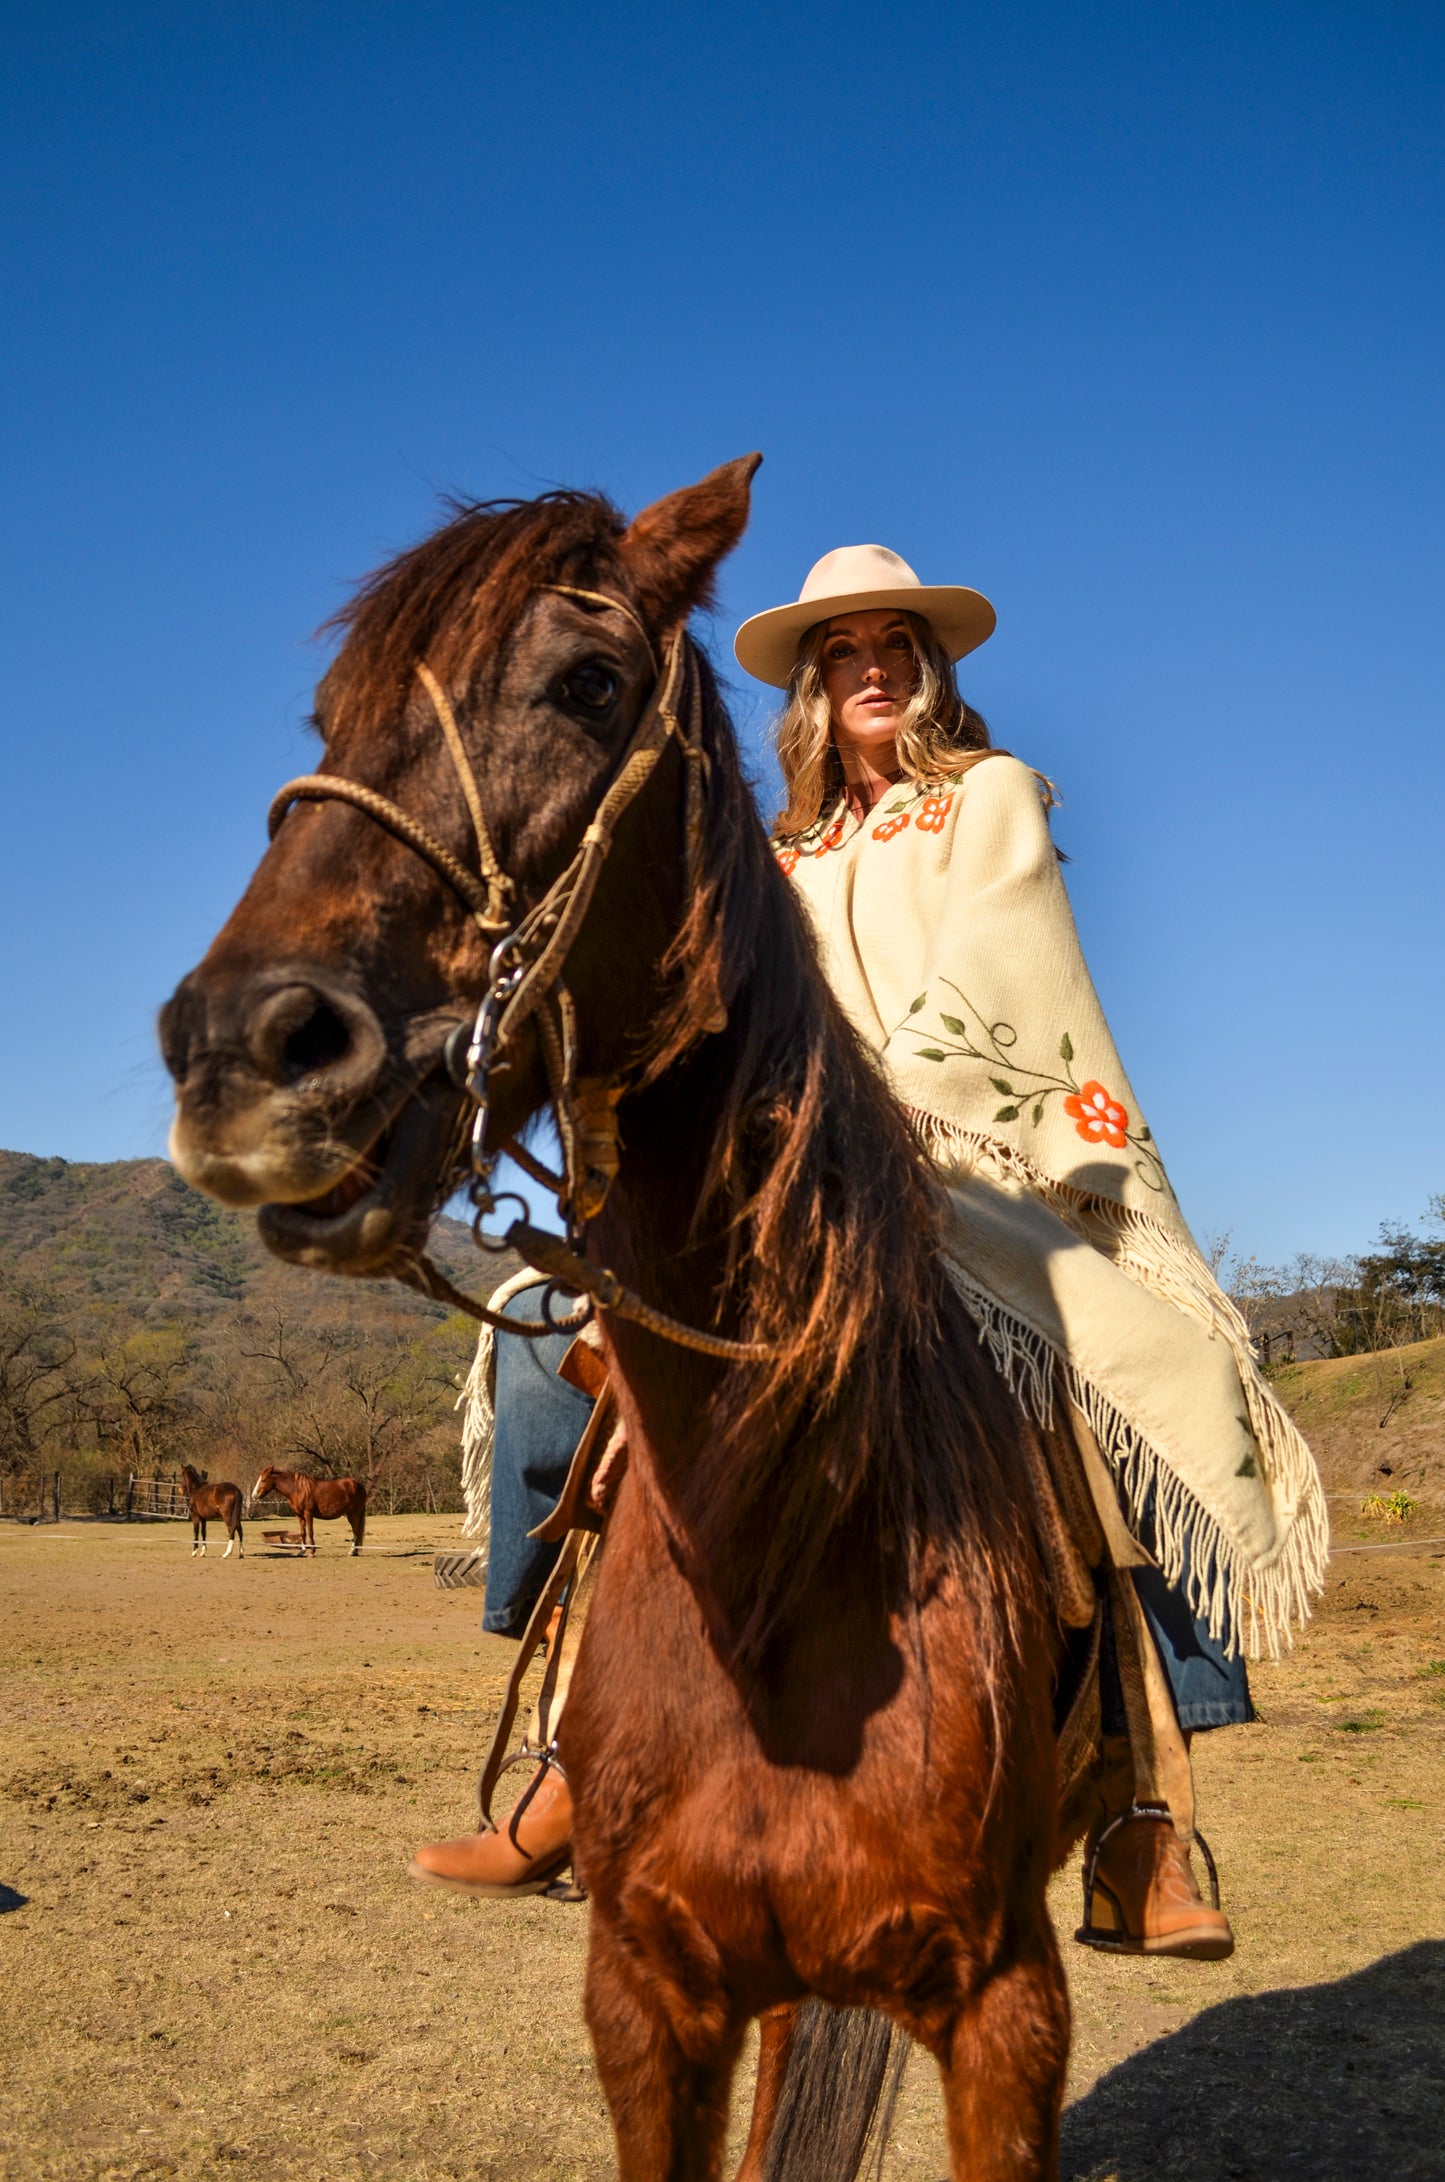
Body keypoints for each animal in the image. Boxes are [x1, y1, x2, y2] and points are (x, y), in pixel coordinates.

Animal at [163, 451, 1082, 2173]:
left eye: (589, 683)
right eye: (329, 716)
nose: (240, 1051)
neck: (779, 1560)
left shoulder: (1005, 2003)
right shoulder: (649, 1993)